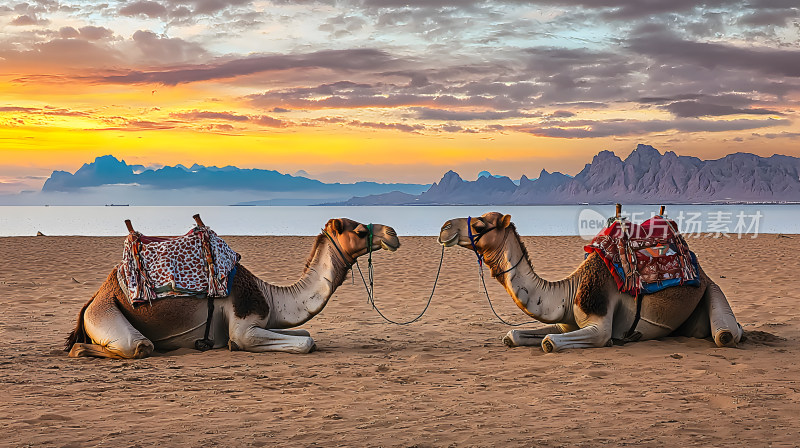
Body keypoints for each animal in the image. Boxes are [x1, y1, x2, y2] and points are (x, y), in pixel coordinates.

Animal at [65, 217, 400, 356]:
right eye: (360, 230)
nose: (393, 234)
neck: (271, 296)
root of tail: (93, 299)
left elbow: (306, 335)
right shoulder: (244, 325)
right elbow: (304, 343)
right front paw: (230, 346)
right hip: (107, 312)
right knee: (134, 346)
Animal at [438, 212, 744, 352]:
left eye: (480, 224)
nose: (444, 228)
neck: (568, 291)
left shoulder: (600, 326)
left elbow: (549, 342)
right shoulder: (565, 321)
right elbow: (513, 335)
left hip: (710, 288)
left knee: (726, 334)